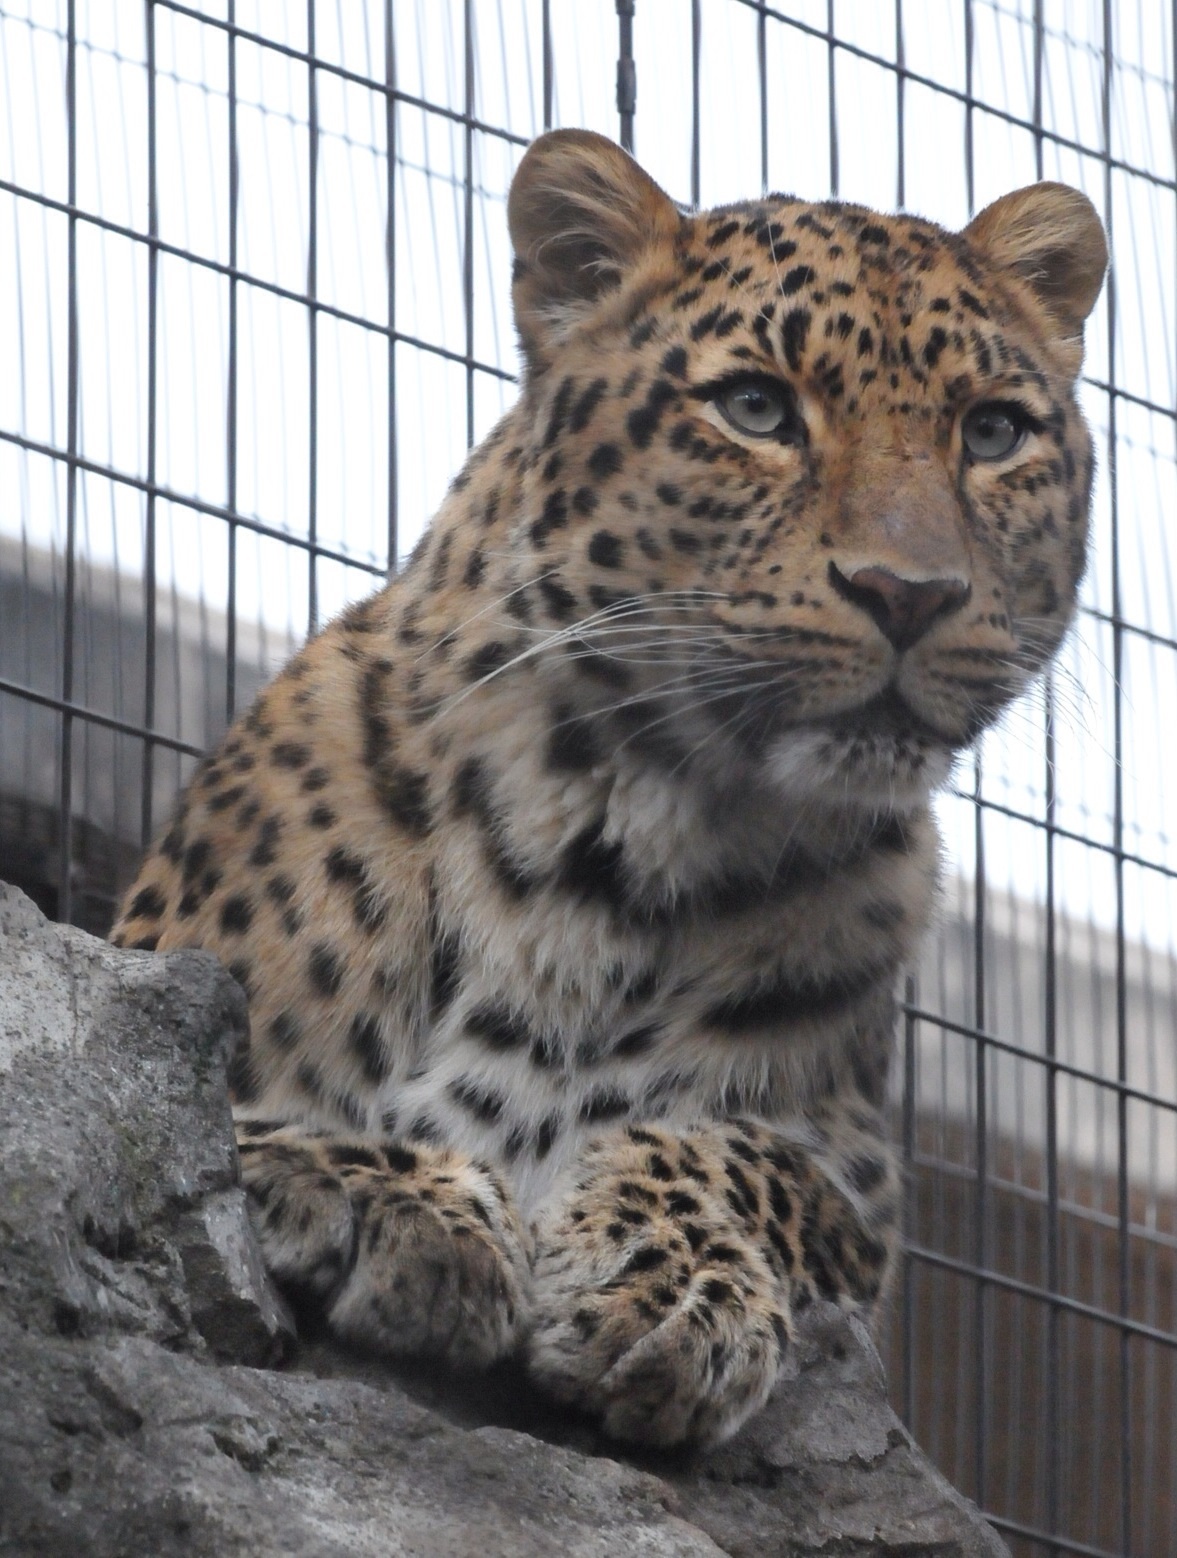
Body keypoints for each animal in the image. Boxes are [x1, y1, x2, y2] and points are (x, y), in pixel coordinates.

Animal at [110, 130, 1103, 1445]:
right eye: (754, 408)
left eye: (992, 433)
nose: (909, 593)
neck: (620, 853)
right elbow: (231, 1123)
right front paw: (391, 1195)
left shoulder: (859, 1192)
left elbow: (735, 1149)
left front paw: (672, 1287)